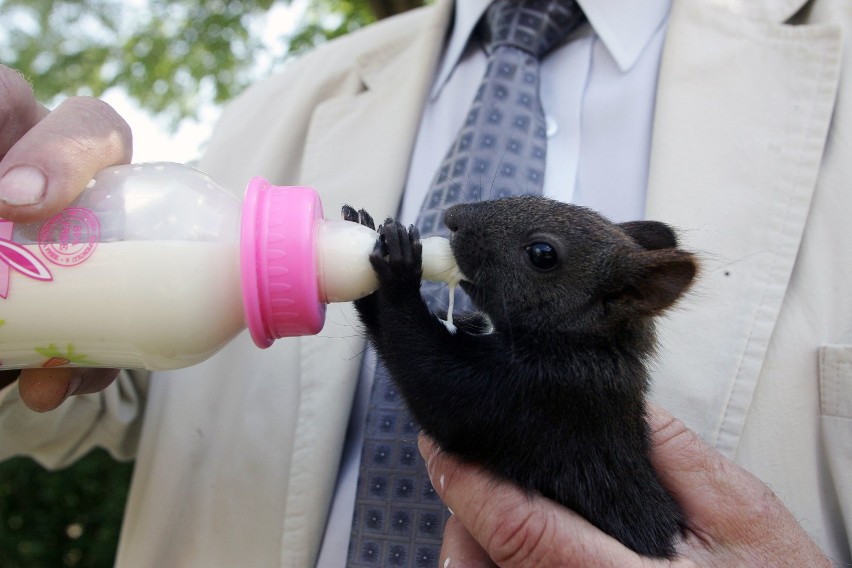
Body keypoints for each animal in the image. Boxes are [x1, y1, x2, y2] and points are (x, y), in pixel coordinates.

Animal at [346, 196, 700, 560]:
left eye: (543, 254)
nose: (452, 216)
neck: (583, 343)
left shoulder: (543, 395)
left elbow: (433, 384)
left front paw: (398, 266)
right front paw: (362, 232)